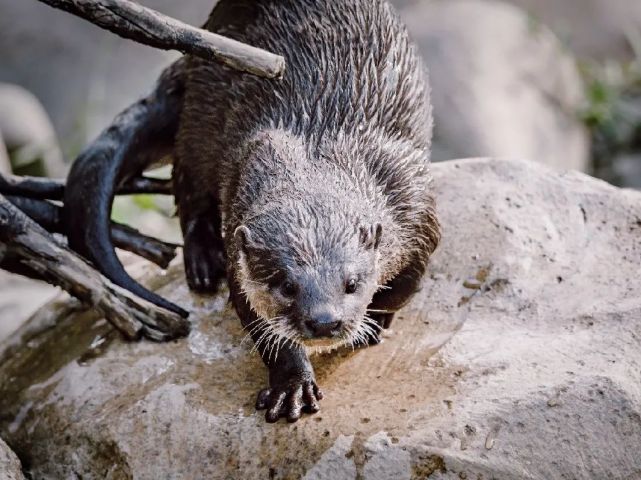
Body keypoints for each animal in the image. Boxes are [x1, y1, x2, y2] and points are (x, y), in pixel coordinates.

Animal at [175, 0, 440, 420]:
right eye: (286, 285)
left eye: (352, 283)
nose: (325, 321)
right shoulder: (238, 220)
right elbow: (255, 315)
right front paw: (292, 384)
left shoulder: (413, 200)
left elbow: (408, 283)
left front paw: (376, 320)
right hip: (200, 105)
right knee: (189, 183)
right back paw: (202, 261)